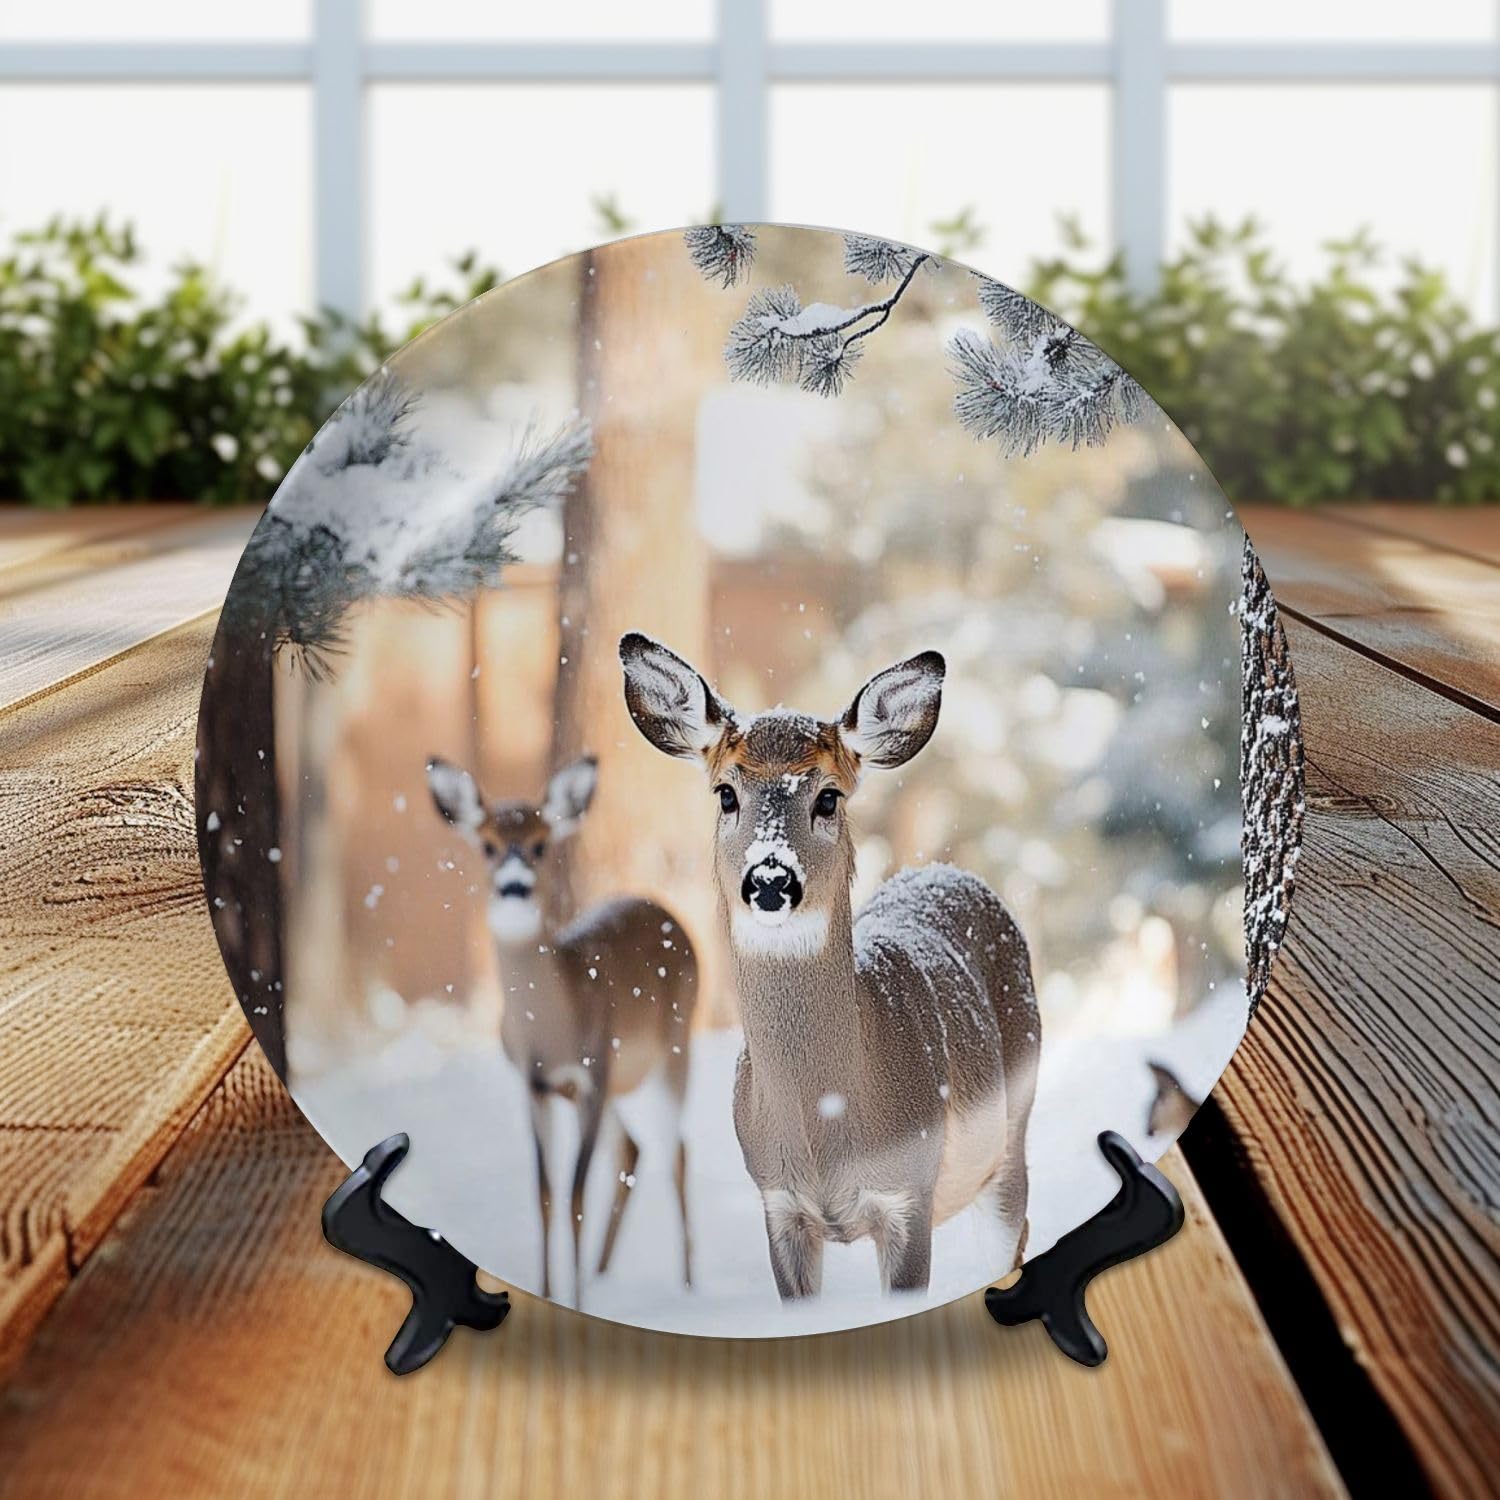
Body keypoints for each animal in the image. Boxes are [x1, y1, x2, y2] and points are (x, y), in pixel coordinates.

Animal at [425, 752, 696, 1308]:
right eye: (487, 845)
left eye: (539, 844)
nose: (514, 886)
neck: (551, 1030)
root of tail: (667, 913)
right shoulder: (538, 1086)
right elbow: (545, 1192)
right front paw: (552, 1292)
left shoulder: (593, 1071)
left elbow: (574, 1193)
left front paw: (575, 1299)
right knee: (633, 1149)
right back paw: (603, 1274)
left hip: (673, 1050)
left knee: (676, 1151)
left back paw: (687, 1288)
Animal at [619, 632, 1040, 1301]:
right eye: (726, 793)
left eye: (828, 796)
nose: (770, 880)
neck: (828, 1129)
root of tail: (947, 872)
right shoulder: (778, 1202)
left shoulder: (908, 1193)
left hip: (1014, 1126)